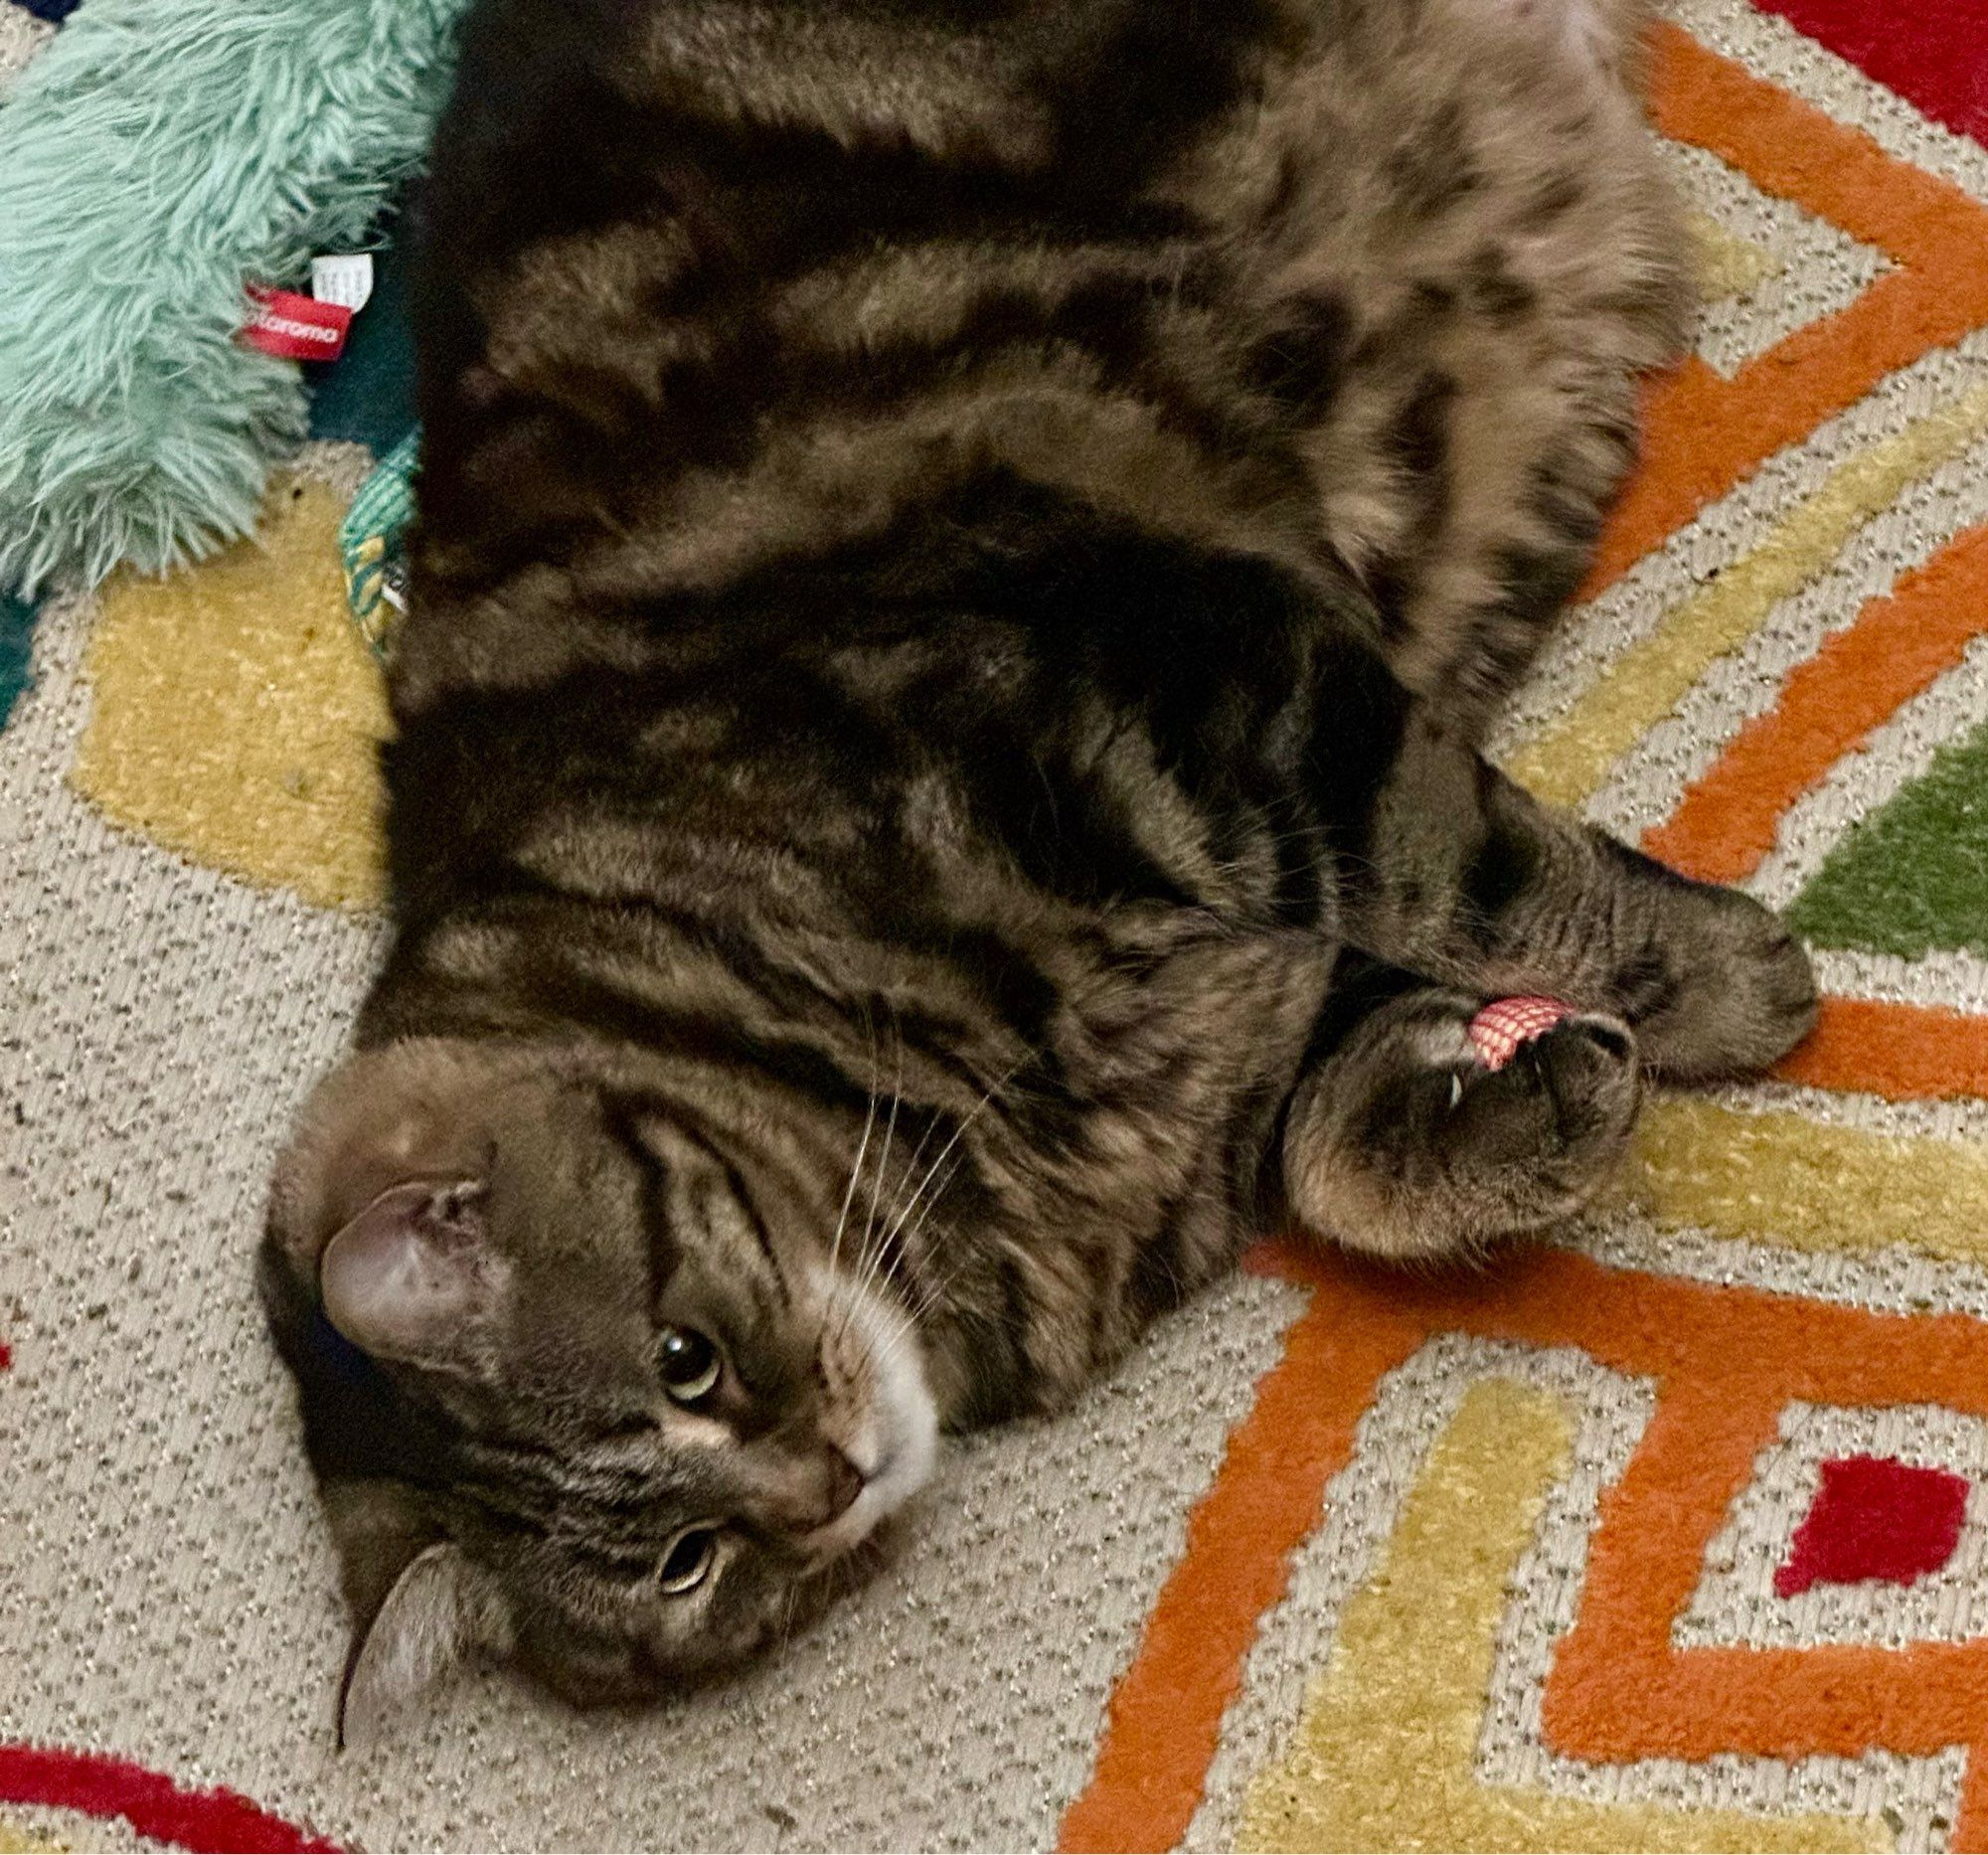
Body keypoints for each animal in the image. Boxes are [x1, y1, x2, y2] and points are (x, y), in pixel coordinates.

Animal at [260, 0, 1821, 1734]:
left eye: (685, 1361)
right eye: (689, 1567)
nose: (828, 1484)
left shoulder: (1204, 695)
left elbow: (1463, 870)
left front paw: (1734, 985)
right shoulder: (1252, 944)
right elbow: (1339, 1132)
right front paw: (1511, 1105)